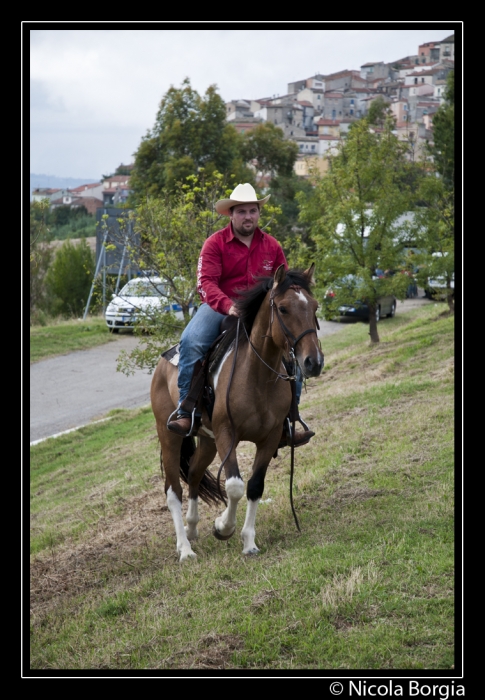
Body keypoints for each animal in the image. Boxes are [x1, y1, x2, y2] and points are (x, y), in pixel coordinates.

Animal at [149, 264, 324, 564]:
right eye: (283, 308)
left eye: (314, 306)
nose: (314, 362)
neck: (257, 375)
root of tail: (163, 364)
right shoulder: (226, 435)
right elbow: (234, 486)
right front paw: (223, 527)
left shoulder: (270, 438)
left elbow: (254, 486)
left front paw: (249, 542)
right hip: (170, 435)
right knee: (173, 490)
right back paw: (185, 548)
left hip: (206, 440)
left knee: (194, 473)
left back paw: (192, 528)